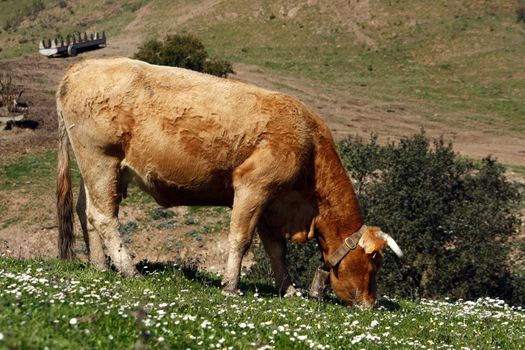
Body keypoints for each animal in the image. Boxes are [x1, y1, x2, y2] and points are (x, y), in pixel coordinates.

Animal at [56, 58, 402, 308]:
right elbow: (241, 239)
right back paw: (129, 270)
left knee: (87, 212)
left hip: (95, 168)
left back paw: (100, 266)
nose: (371, 303)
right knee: (104, 217)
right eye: (376, 261)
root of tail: (83, 66)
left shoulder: (272, 203)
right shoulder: (253, 186)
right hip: (101, 159)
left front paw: (289, 289)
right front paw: (231, 287)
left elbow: (276, 251)